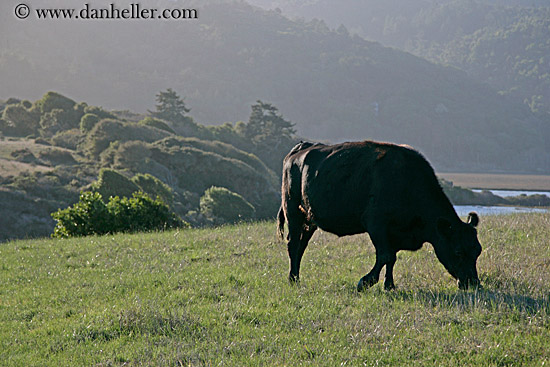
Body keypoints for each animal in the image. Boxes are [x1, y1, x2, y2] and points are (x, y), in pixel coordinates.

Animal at [278, 142, 480, 292]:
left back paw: (296, 277)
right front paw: (365, 282)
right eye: (458, 251)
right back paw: (292, 279)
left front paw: (389, 285)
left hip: (309, 220)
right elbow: (385, 256)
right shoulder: (376, 225)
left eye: (478, 251)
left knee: (301, 246)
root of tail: (301, 148)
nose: (473, 282)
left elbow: (392, 258)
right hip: (293, 212)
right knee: (293, 244)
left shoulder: (395, 233)